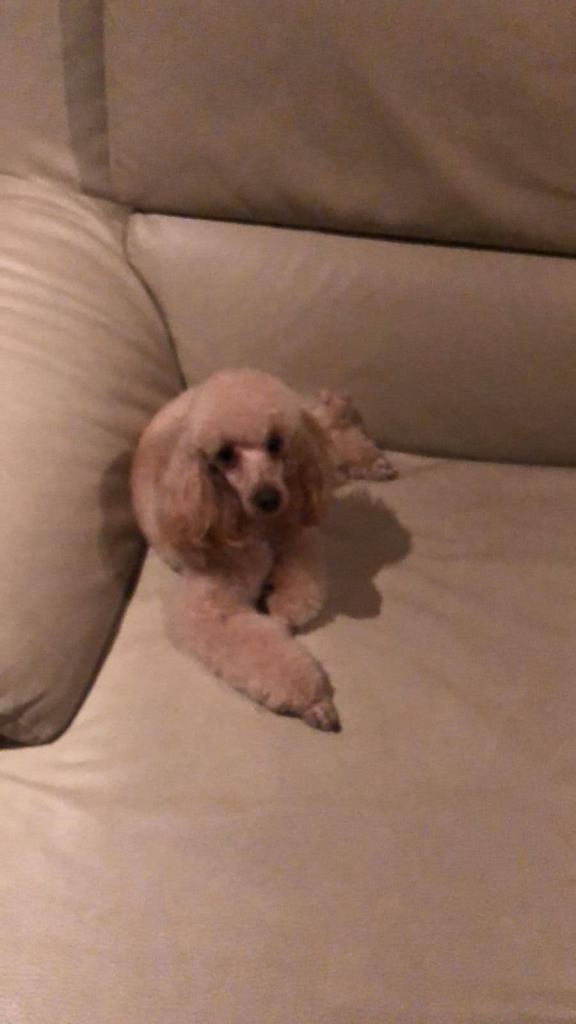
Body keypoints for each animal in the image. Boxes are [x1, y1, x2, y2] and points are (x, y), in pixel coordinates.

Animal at [131, 368, 394, 732]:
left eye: (275, 443)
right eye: (225, 454)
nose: (269, 499)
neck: (255, 525)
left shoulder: (297, 530)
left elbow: (304, 589)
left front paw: (280, 607)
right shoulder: (212, 608)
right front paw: (313, 700)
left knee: (329, 430)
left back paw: (370, 459)